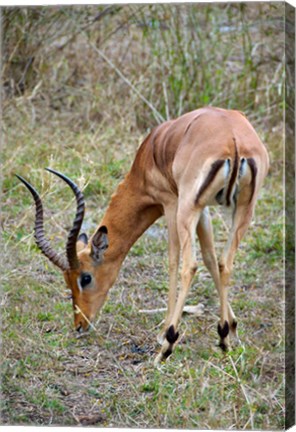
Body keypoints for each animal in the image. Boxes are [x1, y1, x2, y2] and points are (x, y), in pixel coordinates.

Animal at [17, 107, 270, 362]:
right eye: (66, 281)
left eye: (85, 278)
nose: (80, 324)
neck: (151, 151)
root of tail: (232, 140)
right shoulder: (204, 209)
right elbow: (210, 257)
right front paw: (231, 327)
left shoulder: (171, 203)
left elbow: (173, 261)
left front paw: (163, 333)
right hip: (243, 208)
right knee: (224, 263)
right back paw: (224, 339)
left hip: (187, 209)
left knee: (188, 266)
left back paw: (167, 345)